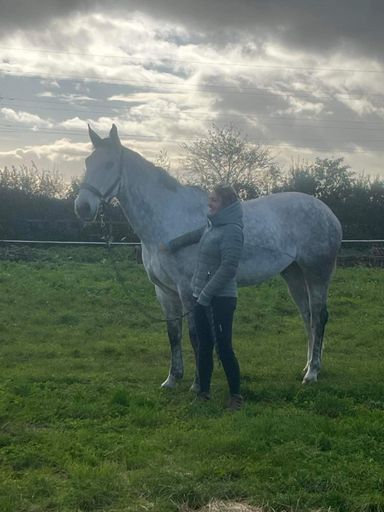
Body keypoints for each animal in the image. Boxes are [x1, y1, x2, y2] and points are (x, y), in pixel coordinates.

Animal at [74, 124, 342, 388]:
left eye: (109, 164)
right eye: (87, 162)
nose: (82, 207)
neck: (166, 219)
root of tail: (329, 214)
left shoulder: (188, 289)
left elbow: (196, 335)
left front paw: (197, 383)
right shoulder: (164, 292)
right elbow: (173, 334)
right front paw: (172, 378)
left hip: (317, 274)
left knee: (319, 317)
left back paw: (312, 373)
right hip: (293, 274)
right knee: (307, 316)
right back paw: (307, 366)